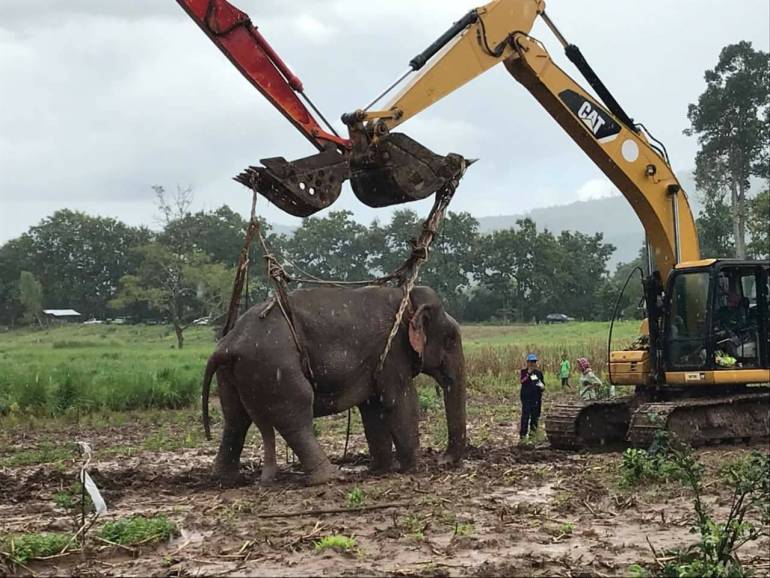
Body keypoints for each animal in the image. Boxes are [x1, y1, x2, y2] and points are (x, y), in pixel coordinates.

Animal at [201, 284, 464, 482]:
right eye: (451, 338)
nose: (443, 460)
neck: (407, 297)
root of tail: (228, 344)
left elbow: (373, 408)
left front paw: (383, 469)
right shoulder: (392, 353)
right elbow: (400, 402)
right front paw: (413, 469)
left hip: (234, 375)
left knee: (235, 419)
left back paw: (225, 479)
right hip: (275, 365)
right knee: (296, 415)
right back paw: (330, 476)